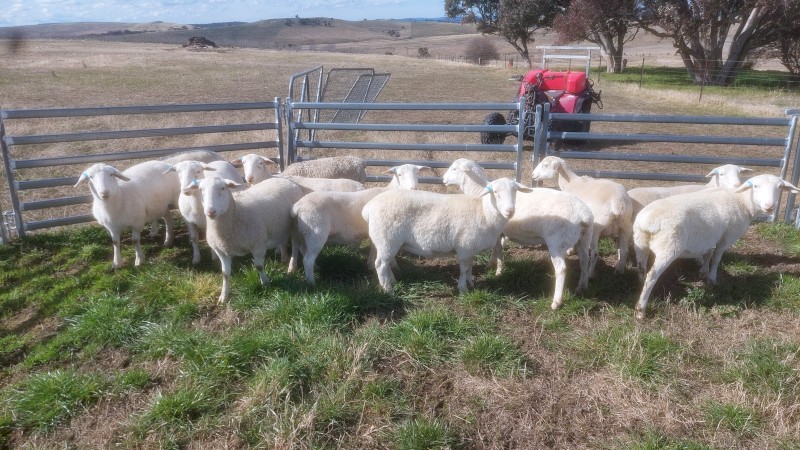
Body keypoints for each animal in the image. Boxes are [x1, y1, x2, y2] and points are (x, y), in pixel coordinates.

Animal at [291, 164, 430, 285]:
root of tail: (297, 206)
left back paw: (315, 268)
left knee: (303, 250)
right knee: (308, 259)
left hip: (303, 232)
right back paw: (312, 282)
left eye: (418, 173)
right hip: (316, 232)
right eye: (399, 174)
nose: (413, 189)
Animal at [362, 177, 533, 294]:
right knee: (380, 265)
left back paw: (392, 281)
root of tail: (368, 208)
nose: (510, 211)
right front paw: (463, 288)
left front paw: (470, 283)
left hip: (385, 241)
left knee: (386, 263)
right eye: (495, 193)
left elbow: (470, 267)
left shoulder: (470, 248)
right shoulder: (465, 246)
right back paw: (388, 289)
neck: (484, 212)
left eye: (515, 191)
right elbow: (464, 268)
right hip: (387, 238)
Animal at [442, 158, 594, 309]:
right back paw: (582, 286)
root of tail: (584, 215)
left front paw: (498, 270)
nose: (443, 179)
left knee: (561, 269)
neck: (481, 193)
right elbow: (497, 249)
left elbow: (497, 250)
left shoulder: (497, 231)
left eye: (454, 169)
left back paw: (556, 301)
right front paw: (492, 265)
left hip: (557, 242)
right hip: (583, 238)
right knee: (585, 260)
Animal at [632, 174, 799, 319]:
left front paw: (703, 272)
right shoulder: (727, 237)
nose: (769, 206)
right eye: (755, 186)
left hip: (640, 244)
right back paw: (641, 309)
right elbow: (717, 258)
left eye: (780, 187)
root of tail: (647, 221)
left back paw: (640, 284)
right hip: (668, 248)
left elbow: (707, 255)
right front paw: (712, 279)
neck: (742, 202)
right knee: (652, 276)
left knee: (641, 268)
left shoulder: (710, 236)